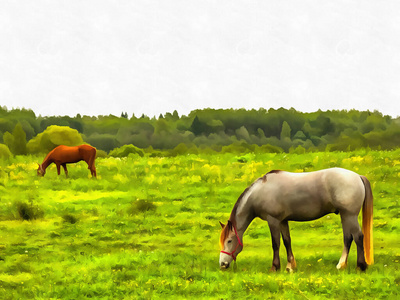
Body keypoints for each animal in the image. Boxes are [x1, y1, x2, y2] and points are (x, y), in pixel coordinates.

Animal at [217, 169, 374, 272]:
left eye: (229, 241)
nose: (222, 264)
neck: (260, 191)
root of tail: (358, 176)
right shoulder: (282, 221)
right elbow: (287, 241)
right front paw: (290, 266)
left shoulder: (273, 221)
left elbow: (276, 244)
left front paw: (275, 267)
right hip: (345, 215)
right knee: (348, 238)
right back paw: (341, 265)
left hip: (350, 215)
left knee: (358, 237)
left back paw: (360, 266)